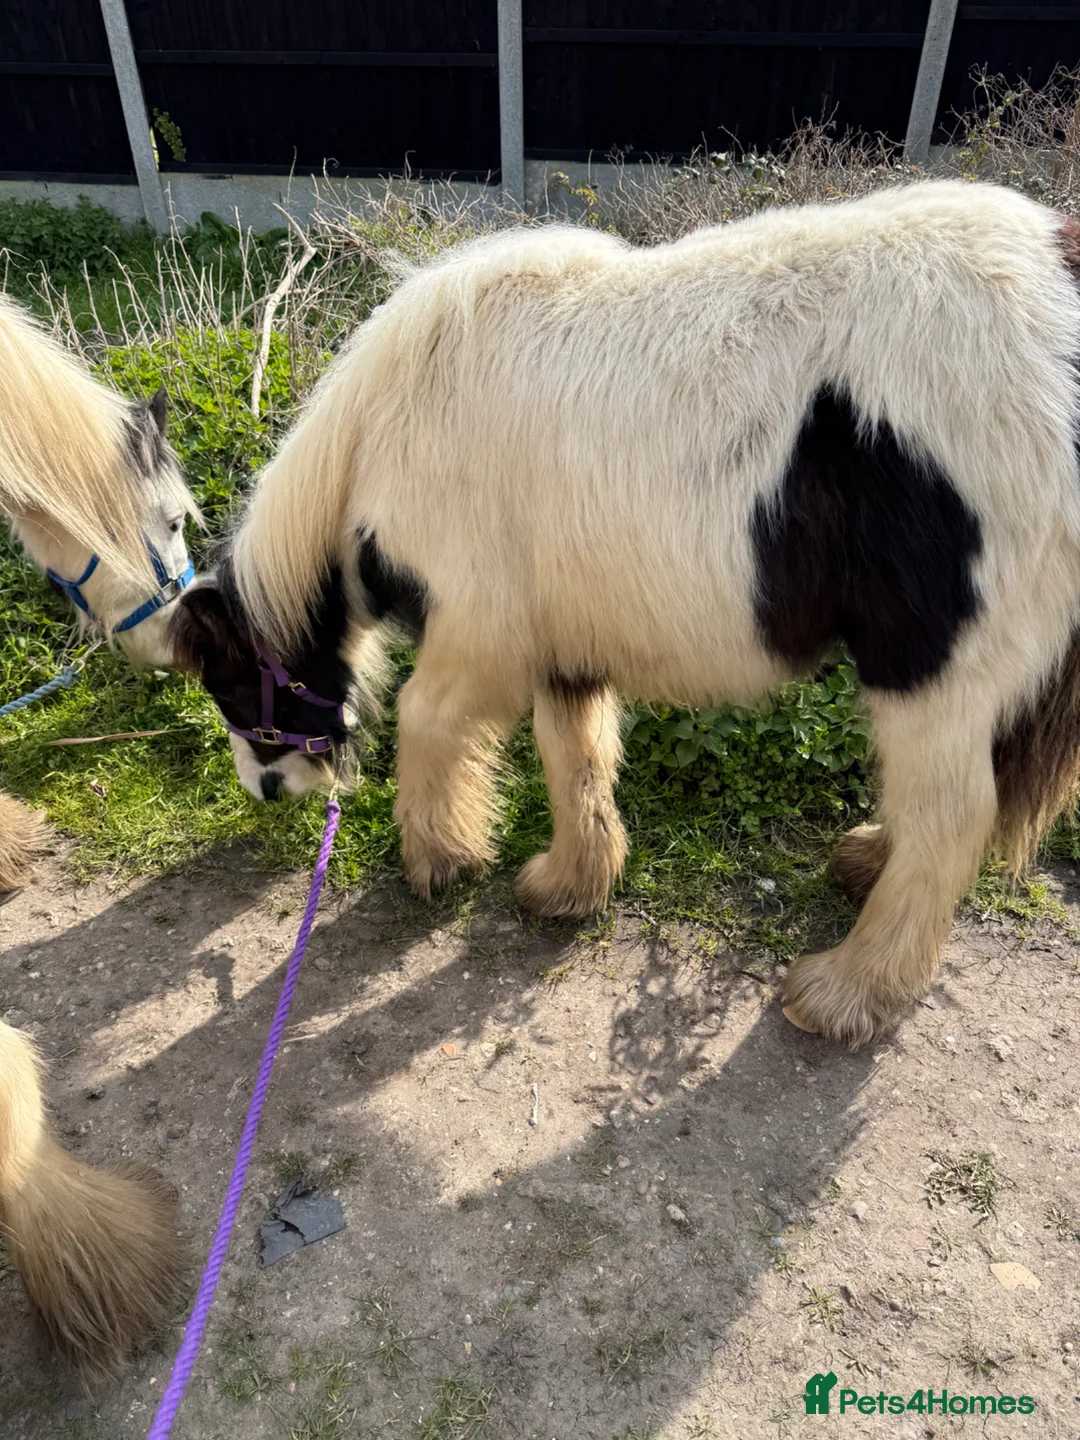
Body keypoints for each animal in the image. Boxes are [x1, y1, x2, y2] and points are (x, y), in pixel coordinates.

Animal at [172, 179, 1080, 1051]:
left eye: (231, 684)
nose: (265, 792)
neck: (386, 428)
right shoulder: (560, 641)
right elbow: (571, 750)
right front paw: (570, 883)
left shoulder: (477, 630)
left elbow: (425, 719)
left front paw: (440, 858)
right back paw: (869, 863)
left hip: (931, 664)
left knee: (952, 813)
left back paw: (847, 992)